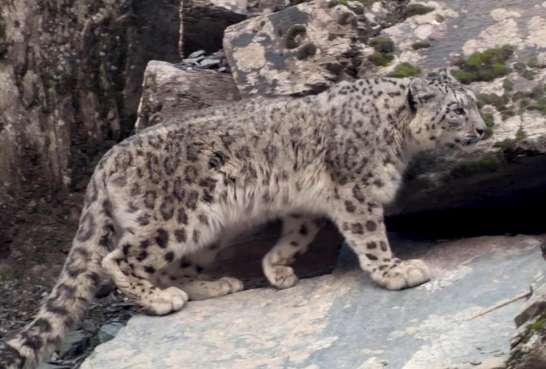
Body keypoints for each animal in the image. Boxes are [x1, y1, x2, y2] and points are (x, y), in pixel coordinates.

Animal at [0, 72, 484, 368]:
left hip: (207, 232)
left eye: (472, 105)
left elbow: (298, 234)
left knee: (175, 265)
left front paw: (277, 269)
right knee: (117, 259)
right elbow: (370, 237)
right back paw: (161, 300)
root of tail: (106, 159)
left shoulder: (306, 205)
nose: (482, 129)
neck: (398, 136)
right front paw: (395, 271)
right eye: (457, 109)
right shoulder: (356, 193)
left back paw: (214, 285)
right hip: (175, 220)